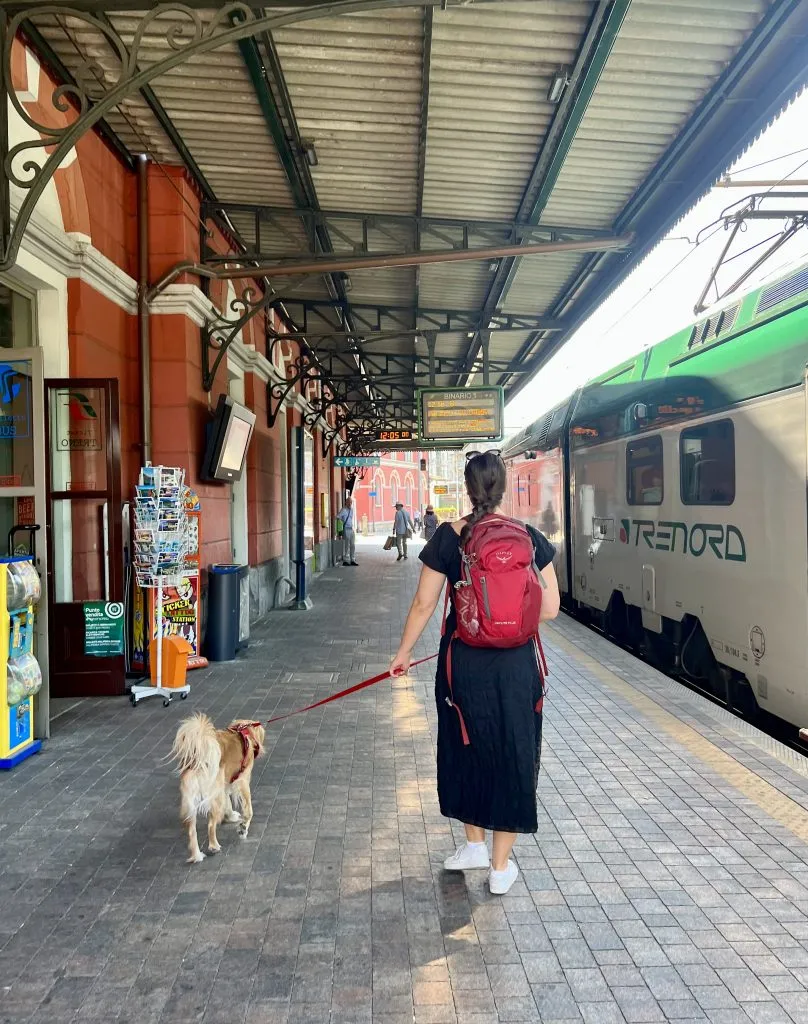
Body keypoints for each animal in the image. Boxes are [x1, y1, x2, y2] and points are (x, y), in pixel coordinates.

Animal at [171, 712, 264, 864]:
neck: (242, 733)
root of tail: (199, 759)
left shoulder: (224, 785)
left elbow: (228, 804)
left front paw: (230, 816)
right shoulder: (242, 782)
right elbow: (248, 811)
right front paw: (243, 828)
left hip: (192, 800)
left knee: (192, 830)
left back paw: (196, 855)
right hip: (214, 796)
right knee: (210, 825)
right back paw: (214, 846)